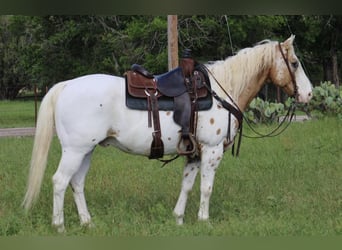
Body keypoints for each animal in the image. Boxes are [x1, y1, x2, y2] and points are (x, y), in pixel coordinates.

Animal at [22, 34, 312, 231]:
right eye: (294, 63)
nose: (308, 94)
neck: (221, 91)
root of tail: (66, 85)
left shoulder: (194, 154)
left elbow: (187, 186)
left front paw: (179, 219)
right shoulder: (212, 151)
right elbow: (206, 188)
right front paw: (204, 221)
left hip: (86, 151)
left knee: (77, 183)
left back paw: (87, 223)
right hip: (75, 151)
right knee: (60, 181)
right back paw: (60, 226)